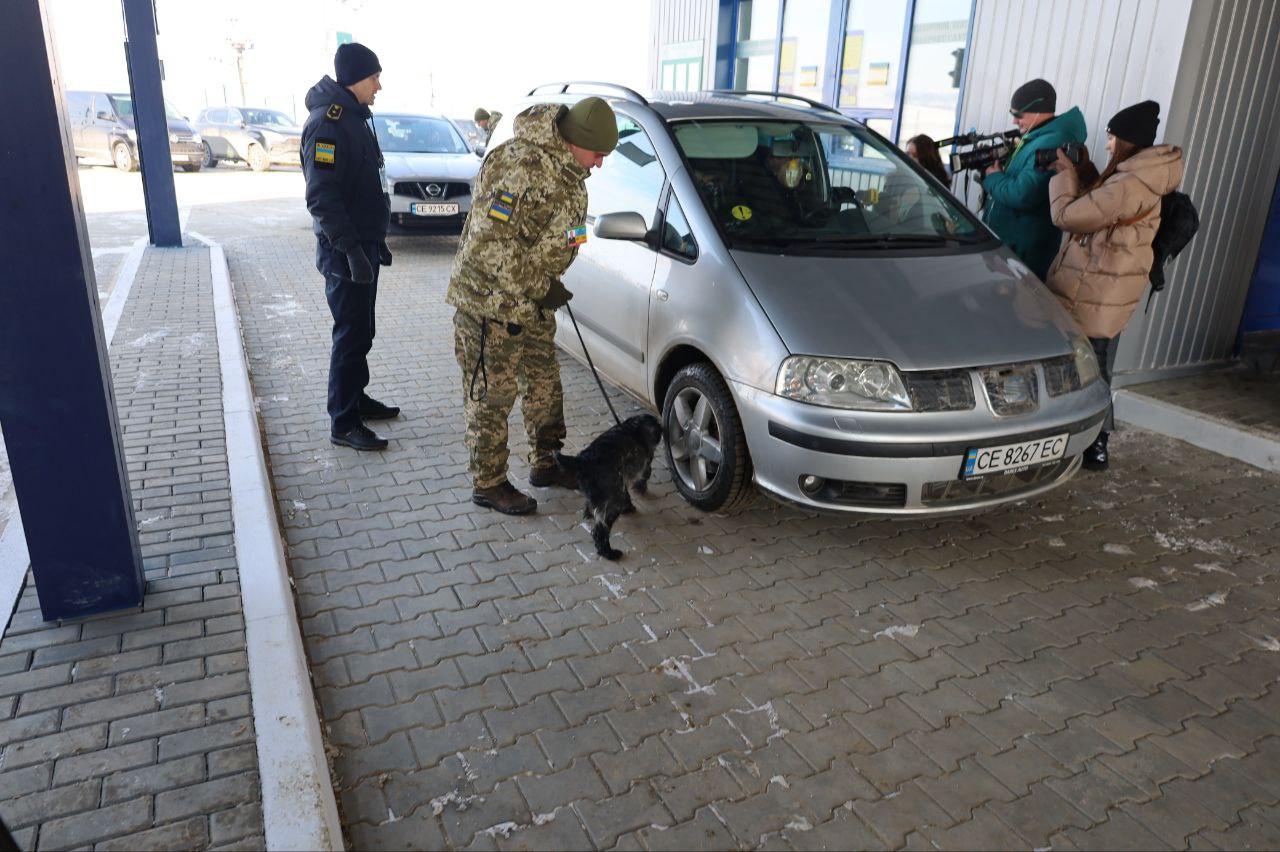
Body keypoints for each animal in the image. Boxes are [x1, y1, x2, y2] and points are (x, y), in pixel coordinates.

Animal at [555, 411, 665, 557]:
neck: (635, 426)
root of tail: (583, 459)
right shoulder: (644, 464)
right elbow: (643, 477)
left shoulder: (621, 479)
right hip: (614, 503)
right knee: (600, 531)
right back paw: (609, 553)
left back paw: (589, 513)